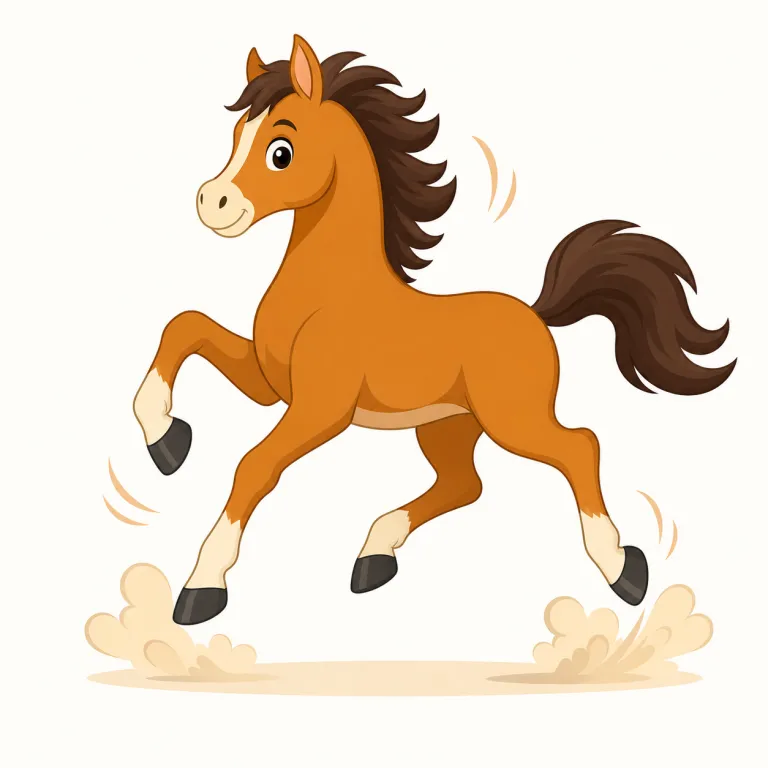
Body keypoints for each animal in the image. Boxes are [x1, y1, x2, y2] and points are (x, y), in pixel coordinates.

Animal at [133, 35, 735, 626]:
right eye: (237, 135)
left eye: (281, 151)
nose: (212, 203)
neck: (332, 289)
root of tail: (536, 313)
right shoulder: (270, 385)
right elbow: (185, 327)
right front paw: (168, 441)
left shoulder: (319, 409)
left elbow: (253, 465)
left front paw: (202, 587)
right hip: (447, 426)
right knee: (465, 484)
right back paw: (374, 555)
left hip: (512, 420)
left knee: (579, 446)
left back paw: (623, 570)